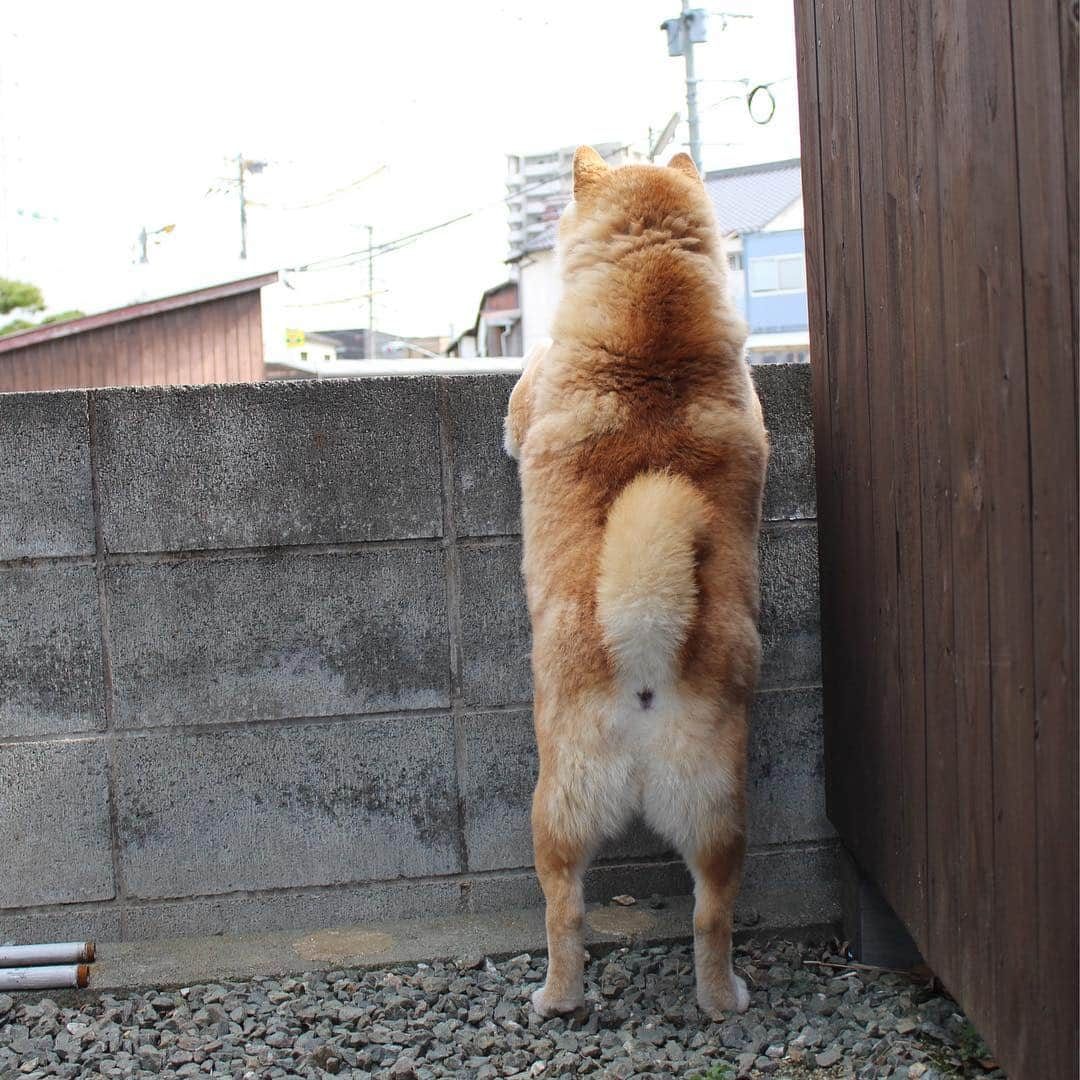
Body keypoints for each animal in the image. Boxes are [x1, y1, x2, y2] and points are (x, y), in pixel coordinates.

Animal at [503, 145, 768, 1019]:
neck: (656, 337)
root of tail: (648, 654)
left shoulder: (532, 394)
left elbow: (521, 397)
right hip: (720, 809)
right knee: (711, 914)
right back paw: (724, 1000)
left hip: (557, 807)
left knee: (565, 910)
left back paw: (555, 997)